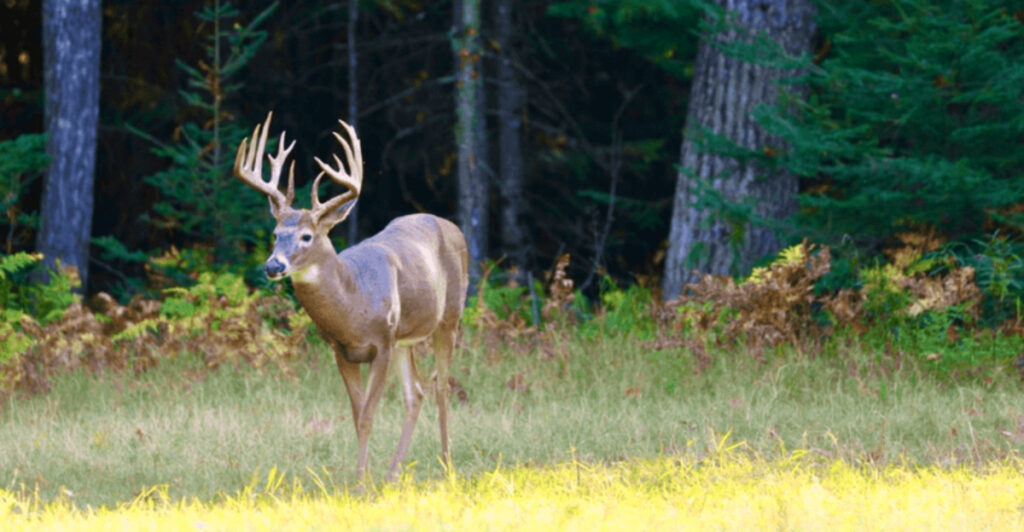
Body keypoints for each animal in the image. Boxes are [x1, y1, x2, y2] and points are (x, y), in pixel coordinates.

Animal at [233, 112, 469, 482]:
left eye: (306, 236)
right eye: (275, 233)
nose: (273, 265)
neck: (353, 305)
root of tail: (450, 225)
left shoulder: (382, 343)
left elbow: (369, 416)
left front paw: (359, 483)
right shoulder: (342, 350)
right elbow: (358, 417)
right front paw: (366, 478)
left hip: (449, 318)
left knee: (441, 387)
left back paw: (447, 466)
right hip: (405, 339)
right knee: (416, 393)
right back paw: (392, 474)